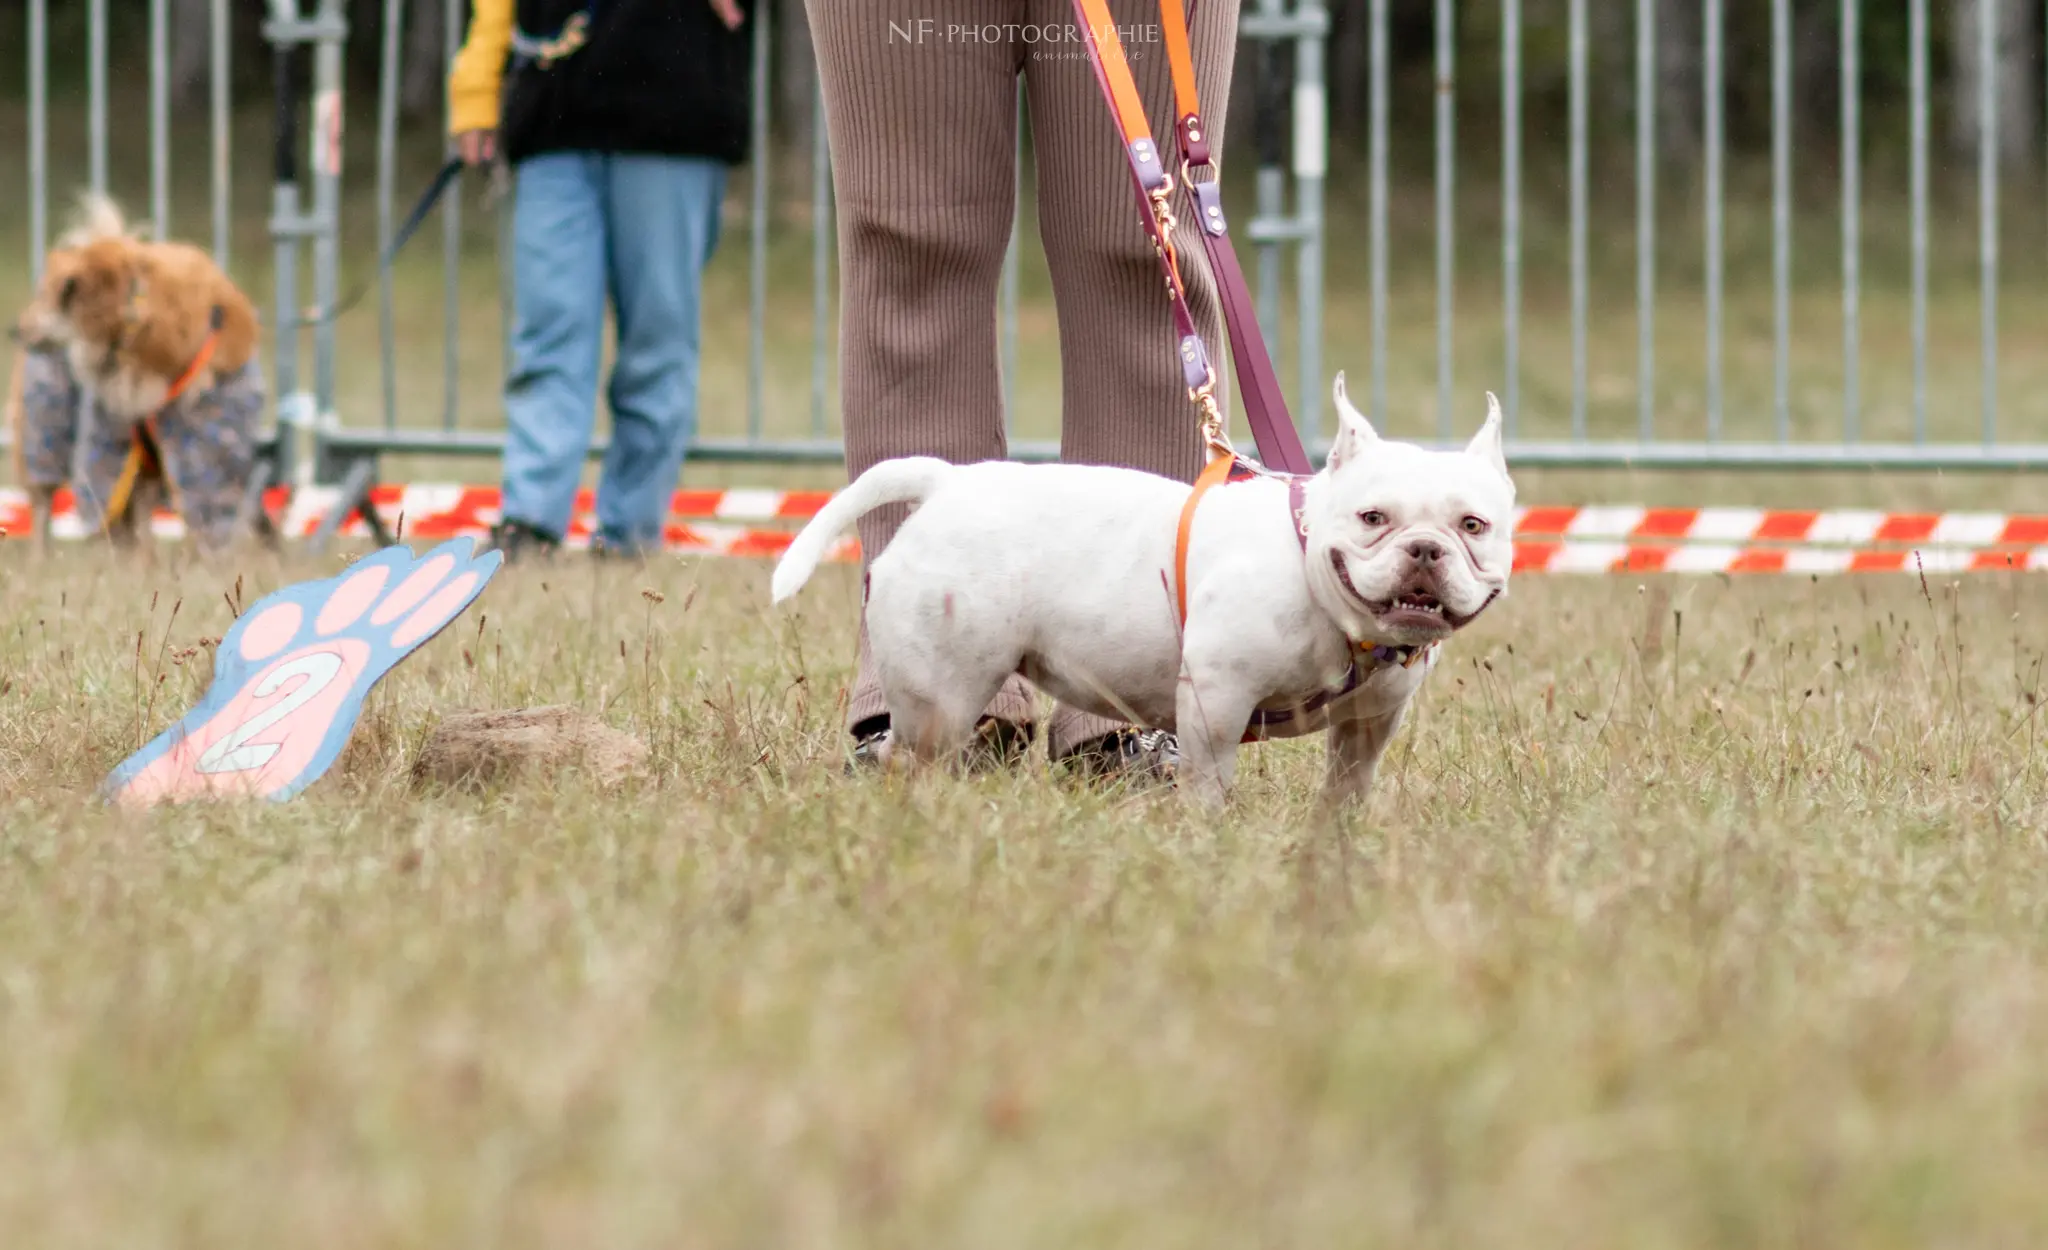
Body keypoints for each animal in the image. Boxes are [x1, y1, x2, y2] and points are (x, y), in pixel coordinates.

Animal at [774, 375, 1515, 807]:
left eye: (1473, 526)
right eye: (1373, 518)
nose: (1425, 550)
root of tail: (946, 482)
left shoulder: (1369, 725)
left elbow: (1347, 789)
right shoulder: (1216, 702)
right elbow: (1209, 786)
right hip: (943, 692)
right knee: (912, 755)